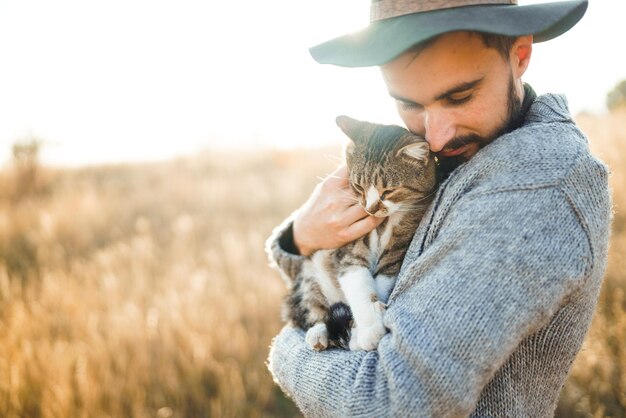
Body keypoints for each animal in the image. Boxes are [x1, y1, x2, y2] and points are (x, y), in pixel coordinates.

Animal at [280, 116, 436, 352]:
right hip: (310, 276)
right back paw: (318, 333)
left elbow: (381, 281)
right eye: (358, 187)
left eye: (388, 191)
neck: (384, 223)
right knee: (314, 310)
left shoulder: (397, 249)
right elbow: (358, 284)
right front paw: (370, 329)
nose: (370, 209)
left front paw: (365, 325)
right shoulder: (351, 249)